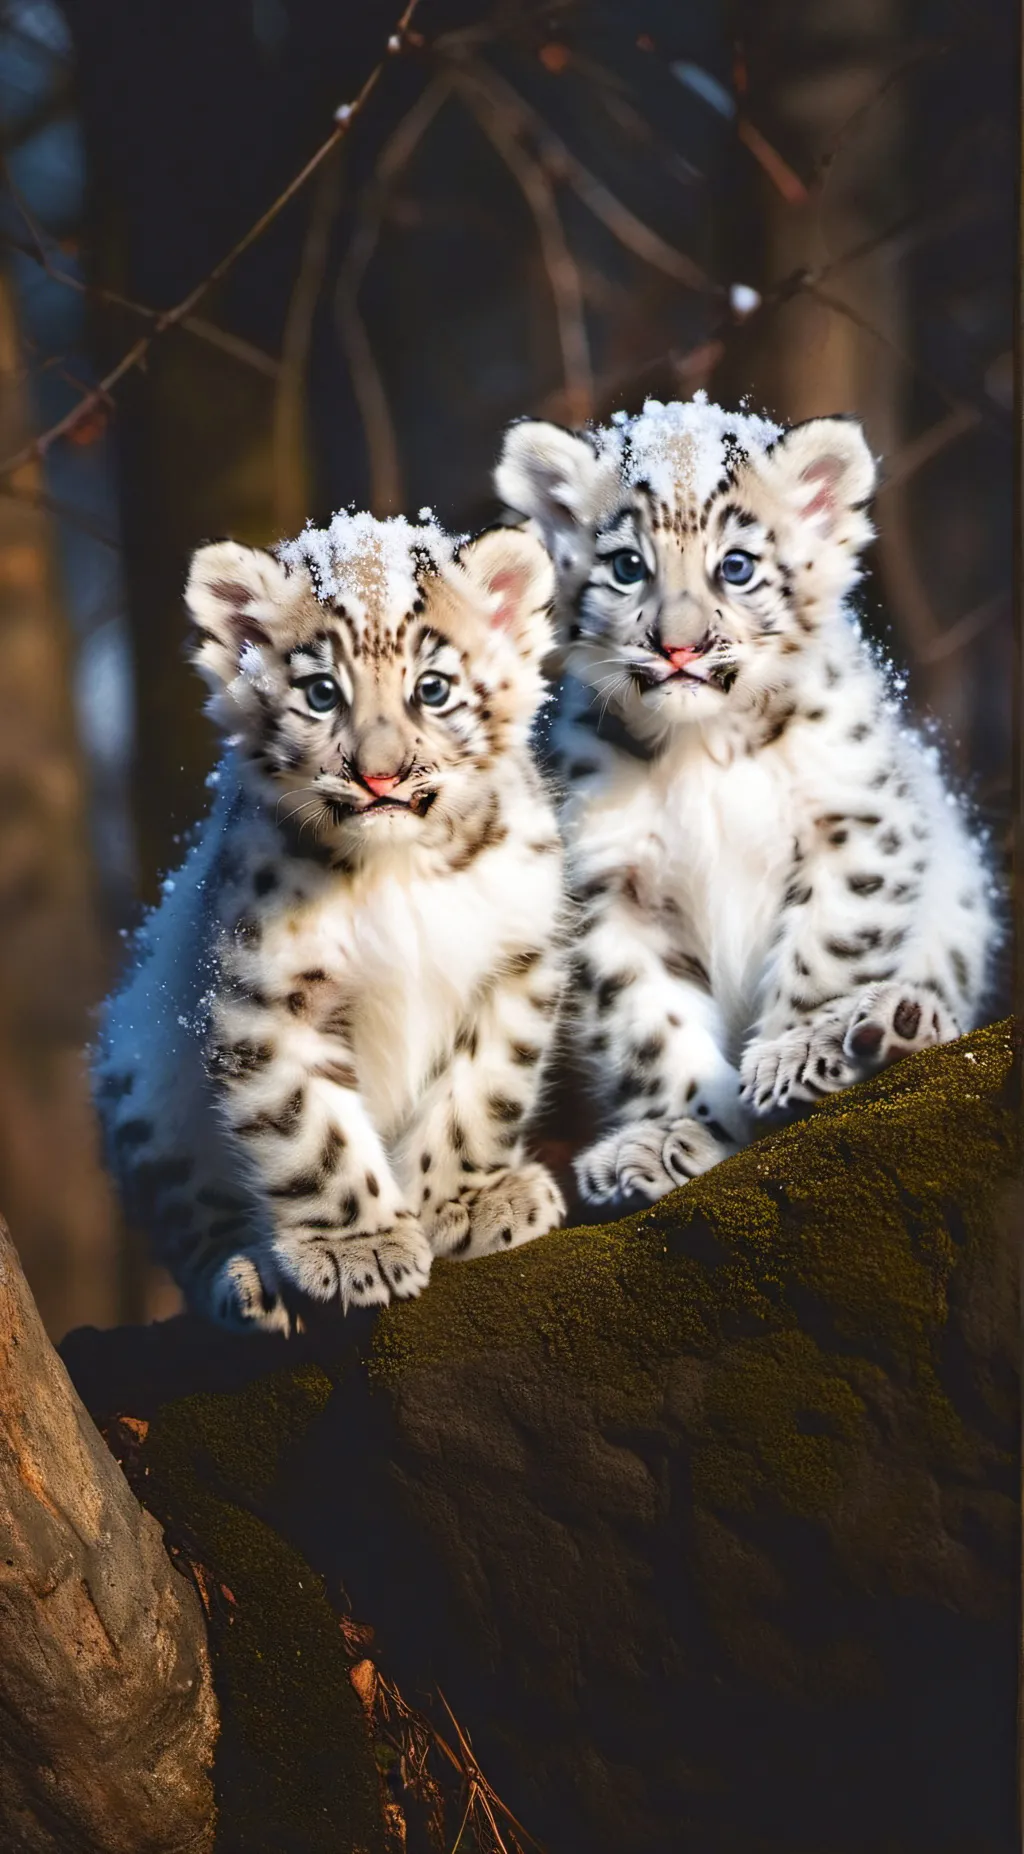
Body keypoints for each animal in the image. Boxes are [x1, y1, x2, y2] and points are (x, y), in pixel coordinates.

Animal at [94, 509, 568, 1331]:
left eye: (433, 688)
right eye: (320, 692)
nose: (379, 775)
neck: (399, 869)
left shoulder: (515, 961)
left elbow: (482, 1092)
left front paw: (471, 1202)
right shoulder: (268, 995)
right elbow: (310, 1131)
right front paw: (361, 1251)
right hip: (144, 1082)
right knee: (194, 1224)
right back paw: (251, 1278)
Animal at [495, 392, 1000, 1207]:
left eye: (736, 566)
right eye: (627, 566)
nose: (679, 646)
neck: (707, 747)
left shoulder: (853, 822)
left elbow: (828, 948)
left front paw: (800, 1050)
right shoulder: (611, 885)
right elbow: (651, 1022)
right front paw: (677, 1133)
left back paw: (890, 1027)